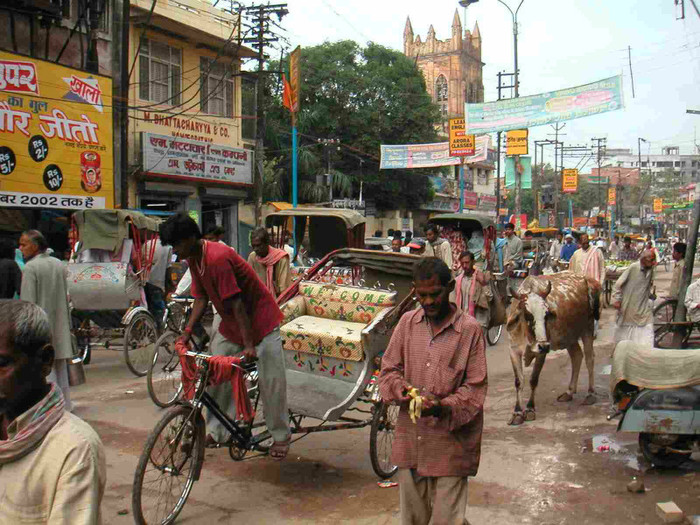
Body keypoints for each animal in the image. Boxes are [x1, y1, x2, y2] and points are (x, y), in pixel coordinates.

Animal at [506, 272, 600, 424]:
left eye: (546, 315)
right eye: (528, 315)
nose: (543, 345)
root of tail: (586, 279)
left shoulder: (542, 353)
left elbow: (533, 379)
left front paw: (530, 409)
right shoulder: (513, 350)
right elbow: (519, 381)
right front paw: (517, 413)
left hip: (587, 328)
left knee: (589, 359)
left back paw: (590, 394)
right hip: (569, 336)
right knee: (577, 356)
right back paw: (569, 392)